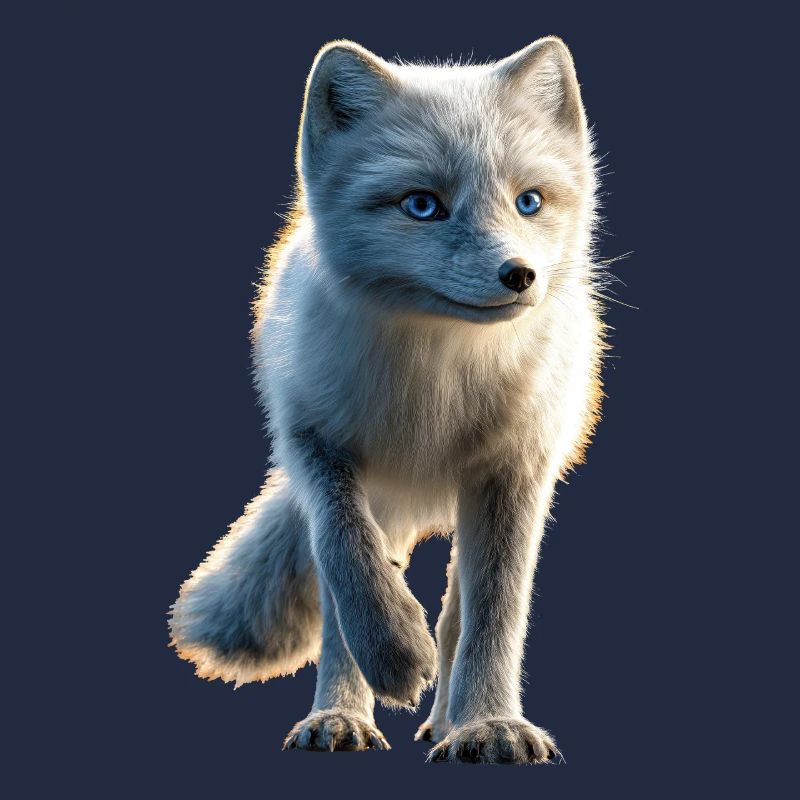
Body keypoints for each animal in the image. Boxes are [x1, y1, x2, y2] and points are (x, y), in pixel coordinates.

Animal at [169, 36, 607, 764]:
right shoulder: (316, 444)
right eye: (422, 206)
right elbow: (348, 563)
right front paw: (388, 663)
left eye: (529, 202)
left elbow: (495, 612)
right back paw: (356, 709)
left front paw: (491, 725)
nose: (520, 275)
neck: (435, 382)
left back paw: (450, 721)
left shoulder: (516, 468)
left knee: (460, 607)